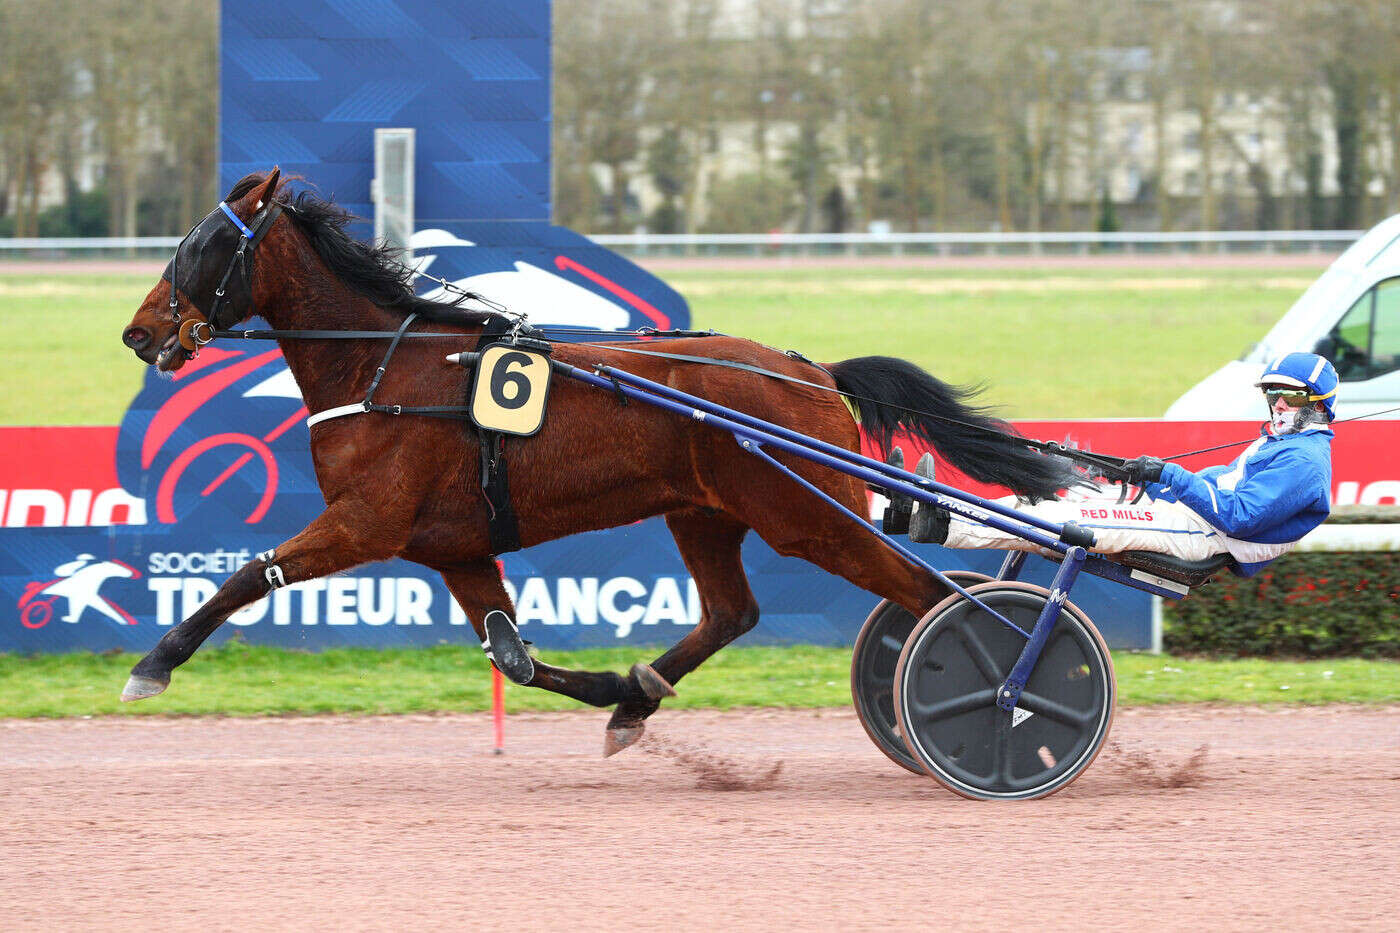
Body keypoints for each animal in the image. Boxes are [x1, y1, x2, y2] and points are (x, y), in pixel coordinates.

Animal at [123, 165, 1080, 750]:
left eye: (203, 245)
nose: (139, 332)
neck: (382, 367)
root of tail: (811, 371)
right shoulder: (457, 546)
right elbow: (512, 657)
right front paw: (618, 687)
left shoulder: (366, 522)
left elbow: (247, 575)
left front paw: (152, 665)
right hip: (706, 512)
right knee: (734, 612)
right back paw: (638, 695)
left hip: (806, 514)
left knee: (930, 595)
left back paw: (1002, 694)